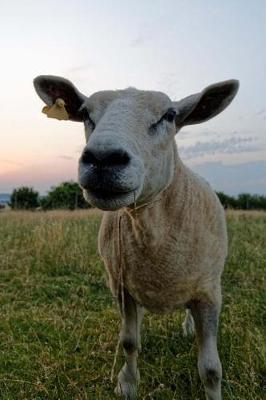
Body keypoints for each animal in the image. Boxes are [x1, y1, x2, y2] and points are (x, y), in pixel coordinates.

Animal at [33, 76, 239, 400]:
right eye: (86, 113)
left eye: (169, 115)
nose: (103, 159)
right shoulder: (122, 287)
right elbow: (129, 341)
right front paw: (127, 383)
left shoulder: (209, 294)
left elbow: (210, 369)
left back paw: (188, 327)